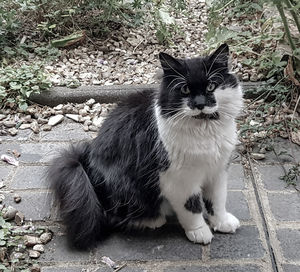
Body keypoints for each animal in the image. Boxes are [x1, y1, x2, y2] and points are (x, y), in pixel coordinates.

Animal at [47, 43, 244, 250]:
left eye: (211, 86)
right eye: (184, 89)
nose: (199, 104)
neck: (204, 130)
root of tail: (86, 164)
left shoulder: (218, 170)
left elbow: (218, 201)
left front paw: (222, 222)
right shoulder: (179, 179)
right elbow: (192, 208)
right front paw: (200, 232)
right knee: (115, 218)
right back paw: (153, 220)